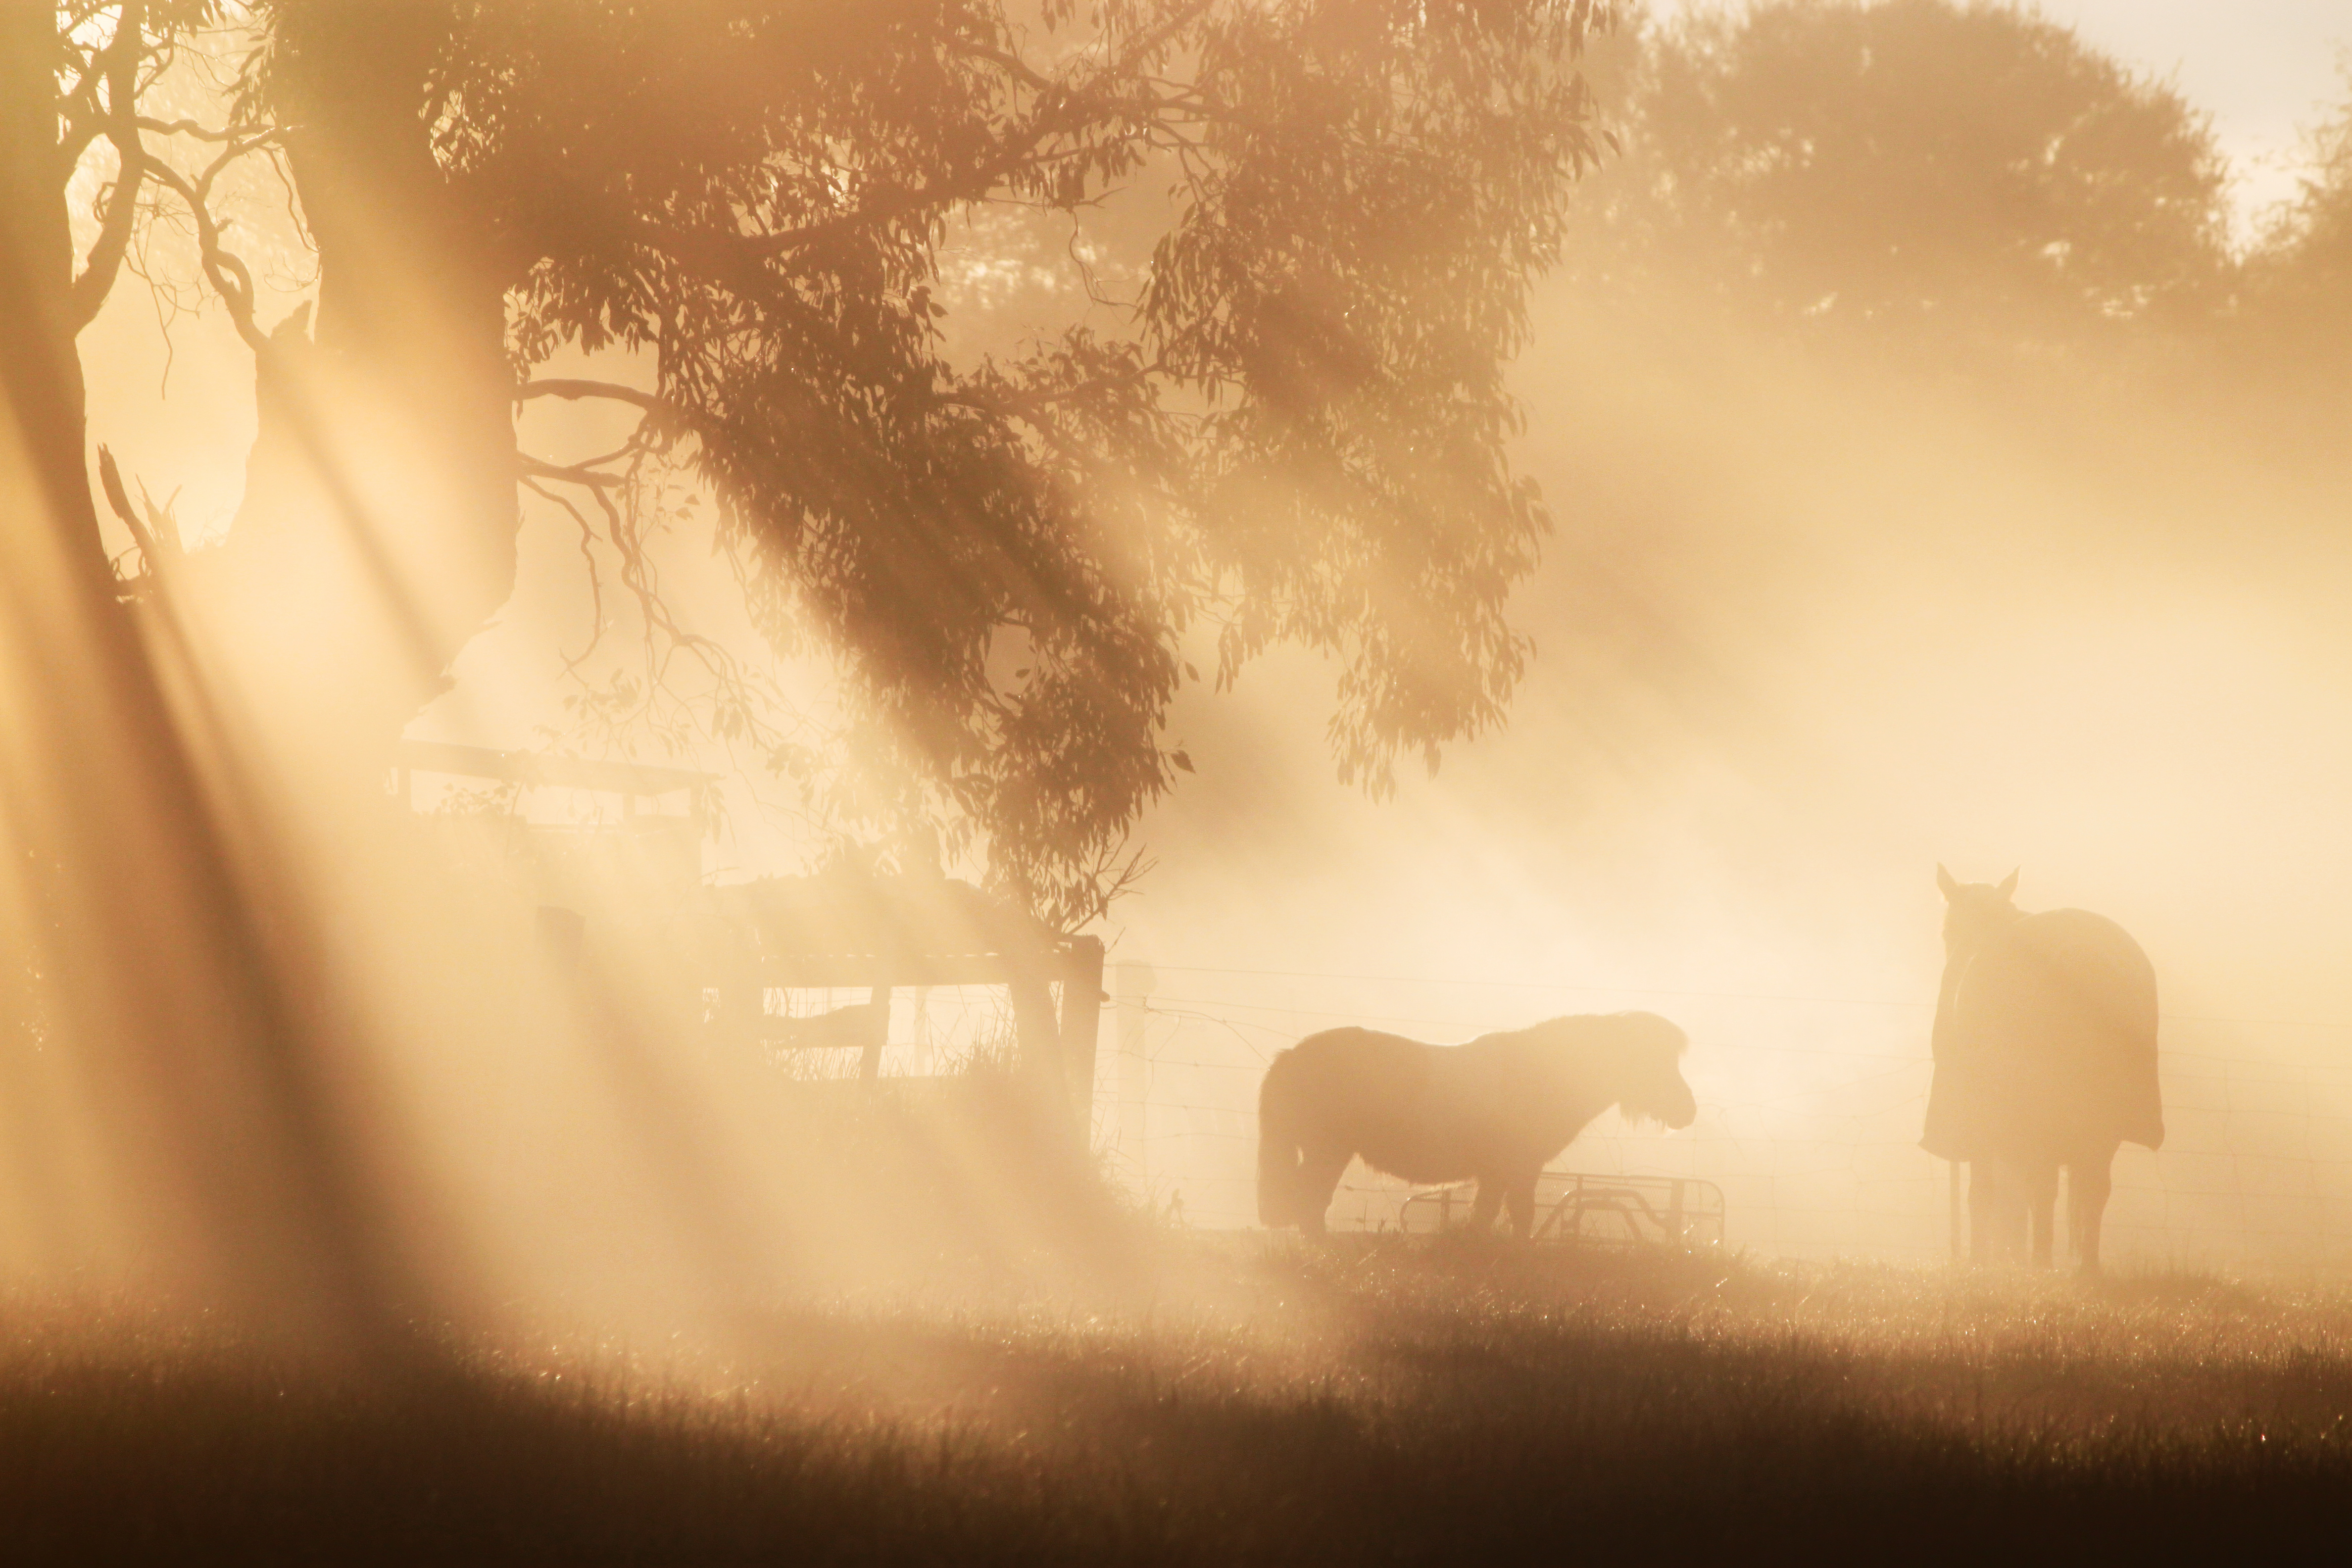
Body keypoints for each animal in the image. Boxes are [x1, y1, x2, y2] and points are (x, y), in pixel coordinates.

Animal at [1261, 1011, 1703, 1241]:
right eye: (1653, 1061)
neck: (1541, 1074)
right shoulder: (1520, 1168)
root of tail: (1292, 1056)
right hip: (1327, 1151)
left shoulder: (1498, 1172)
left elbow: (1488, 1215)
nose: (1688, 1111)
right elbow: (1519, 1215)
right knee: (1309, 1202)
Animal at [1919, 870, 2154, 1278]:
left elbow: (1987, 1192)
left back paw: (2042, 1263)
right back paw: (2085, 1267)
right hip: (2099, 1122)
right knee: (2093, 1188)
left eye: (1947, 930)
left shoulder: (1988, 1123)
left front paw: (1983, 1261)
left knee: (2041, 1187)